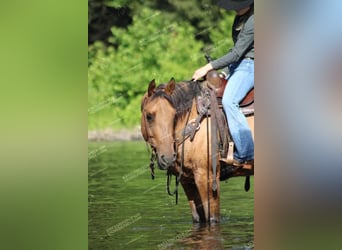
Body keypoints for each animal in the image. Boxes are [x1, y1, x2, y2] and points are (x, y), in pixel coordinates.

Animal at [141, 75, 254, 223]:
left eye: (173, 115)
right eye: (149, 116)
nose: (168, 157)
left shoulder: (207, 178)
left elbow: (212, 218)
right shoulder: (187, 181)